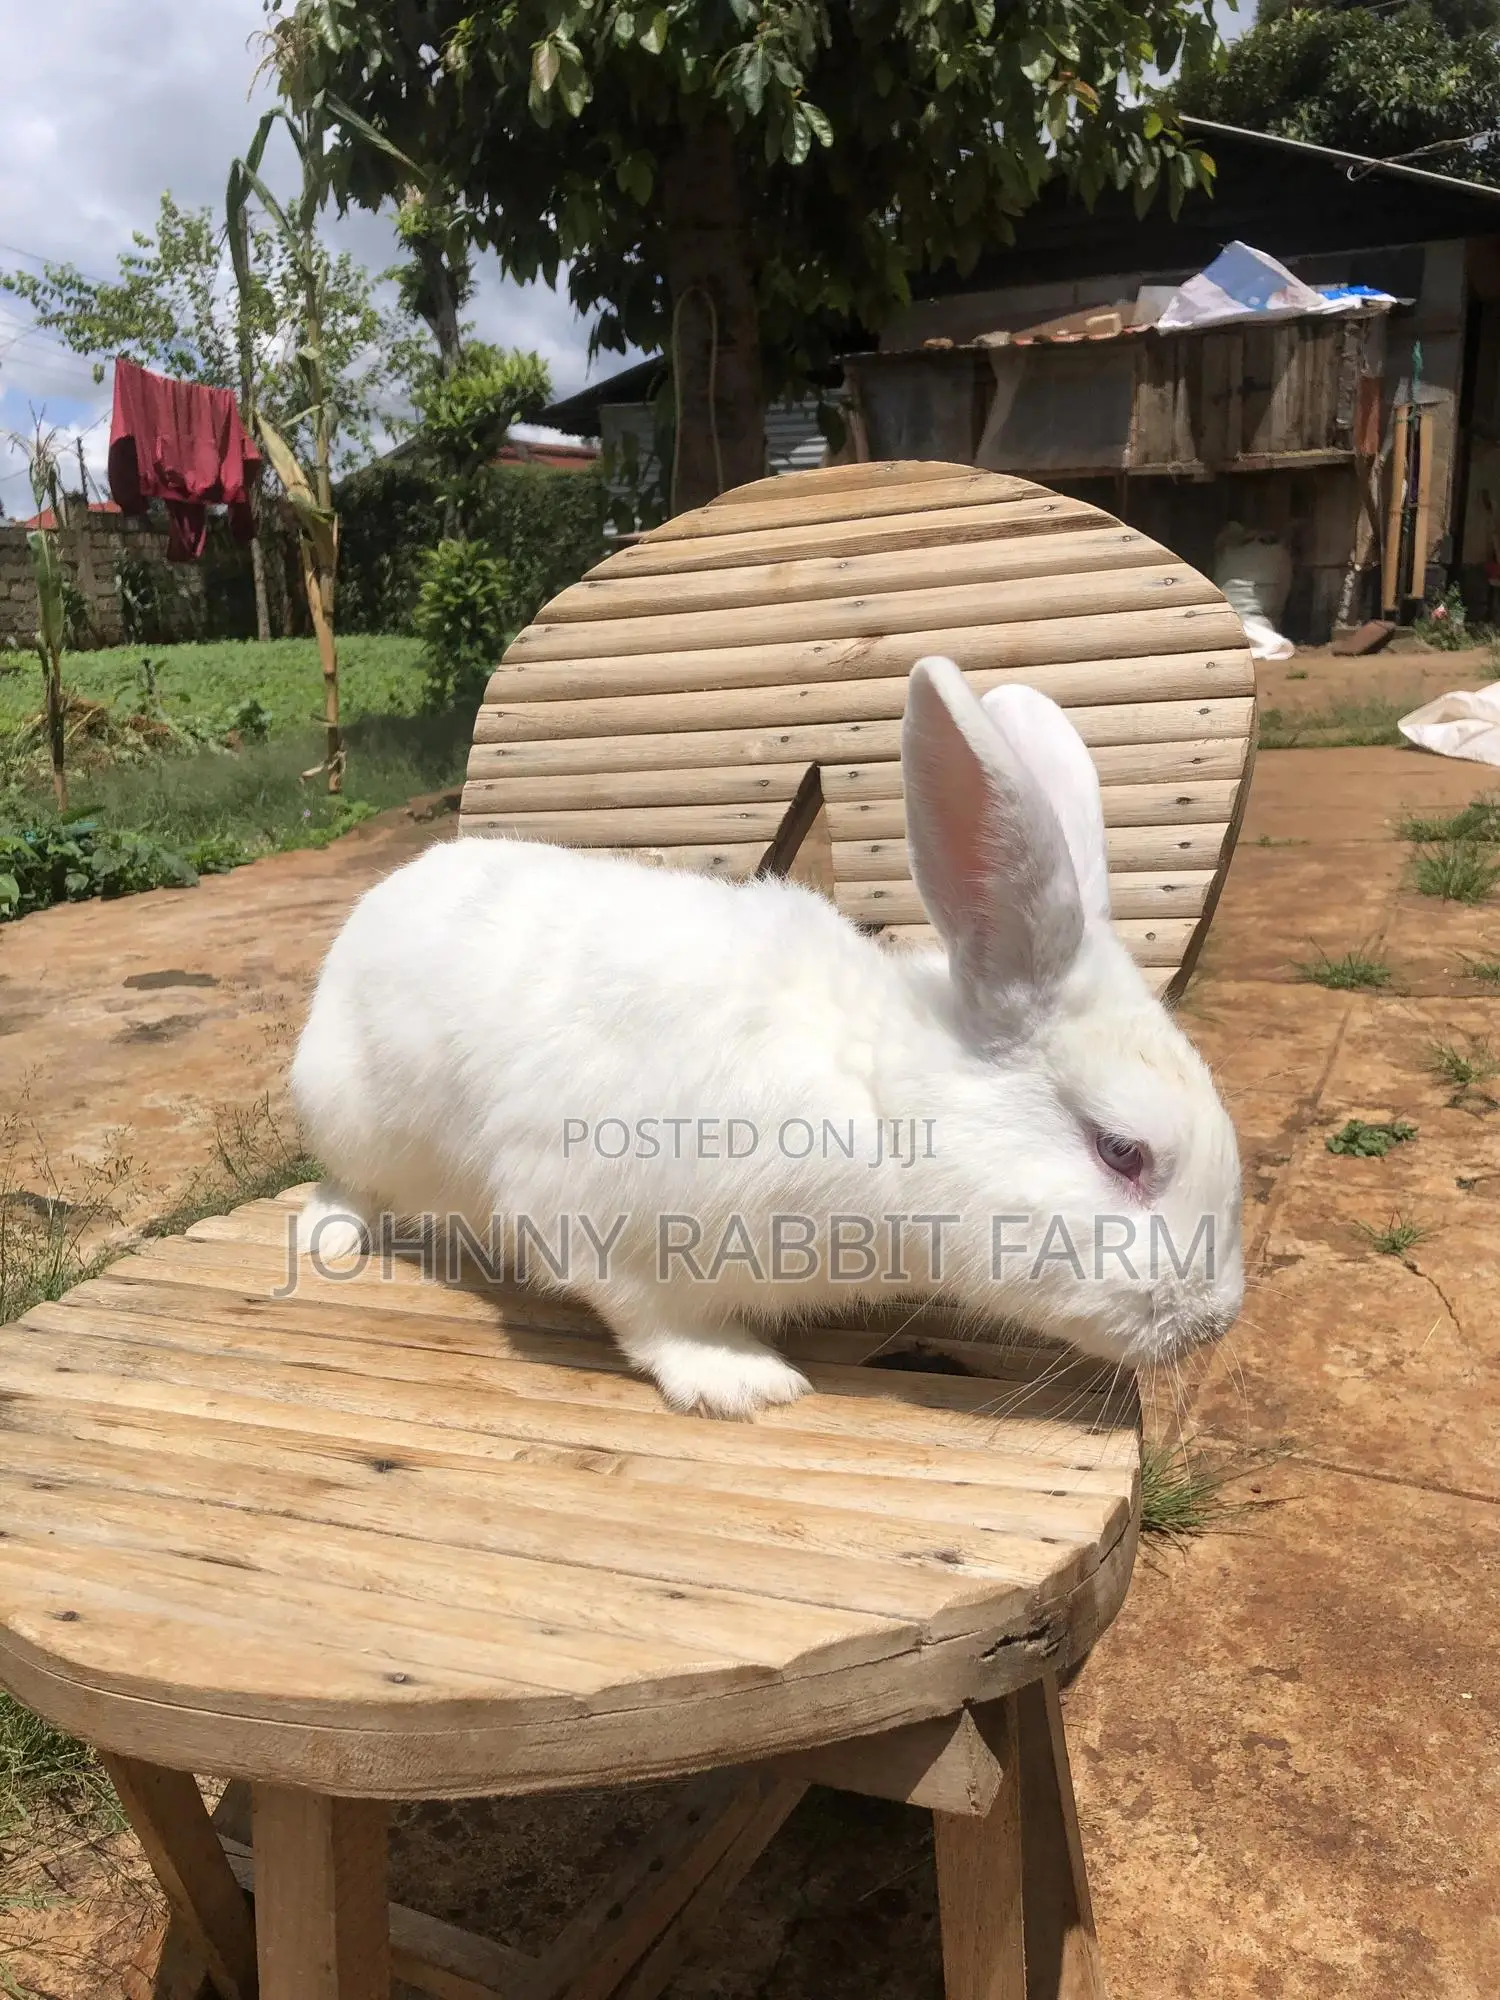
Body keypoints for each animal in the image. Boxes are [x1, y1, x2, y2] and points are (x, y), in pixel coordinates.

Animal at [290, 654, 1243, 1417]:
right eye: (1121, 1151)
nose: (1214, 1319)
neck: (881, 1108)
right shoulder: (596, 1209)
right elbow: (655, 1316)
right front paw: (742, 1380)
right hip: (353, 1115)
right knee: (351, 1184)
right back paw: (329, 1235)